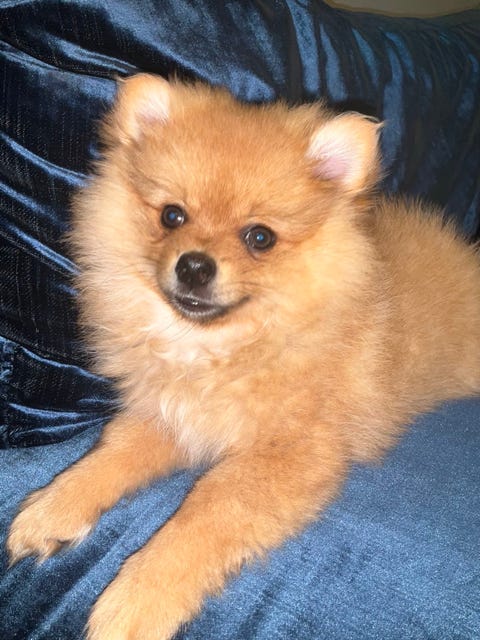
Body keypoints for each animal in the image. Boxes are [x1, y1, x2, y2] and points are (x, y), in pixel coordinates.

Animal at [7, 74, 480, 640]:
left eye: (260, 237)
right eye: (172, 216)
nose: (194, 266)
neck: (222, 350)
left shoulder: (288, 454)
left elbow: (206, 516)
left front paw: (139, 598)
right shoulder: (170, 415)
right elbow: (110, 455)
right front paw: (54, 507)